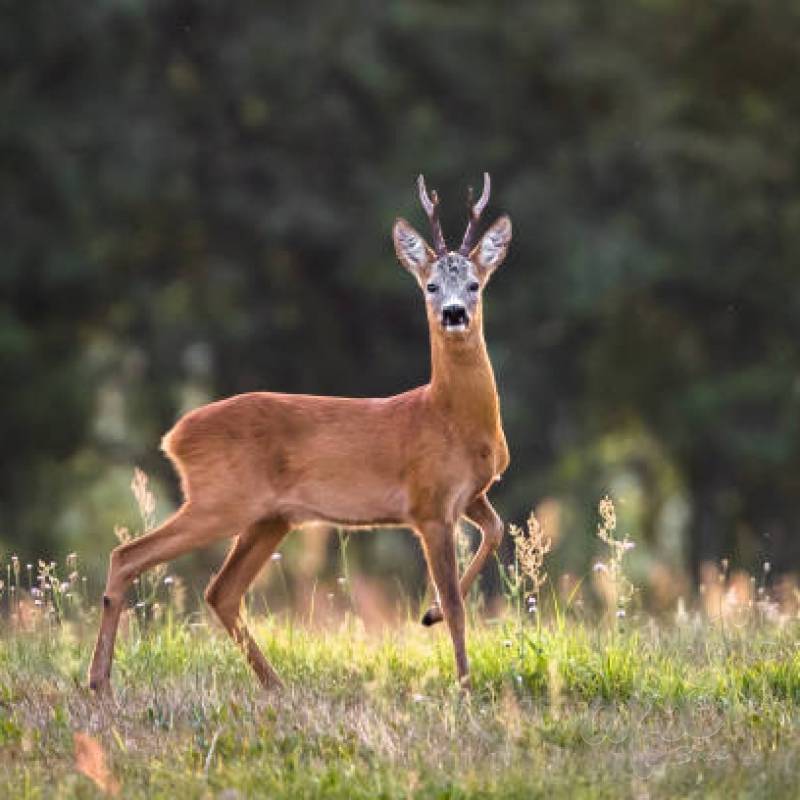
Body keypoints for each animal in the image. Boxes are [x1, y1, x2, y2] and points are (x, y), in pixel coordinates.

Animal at [87, 172, 512, 692]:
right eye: (430, 285)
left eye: (474, 284)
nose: (454, 313)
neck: (451, 416)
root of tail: (174, 437)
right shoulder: (428, 504)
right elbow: (455, 603)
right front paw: (463, 684)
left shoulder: (471, 494)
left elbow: (496, 531)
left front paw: (428, 617)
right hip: (221, 500)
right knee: (128, 555)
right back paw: (99, 682)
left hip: (271, 517)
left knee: (221, 591)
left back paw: (275, 684)